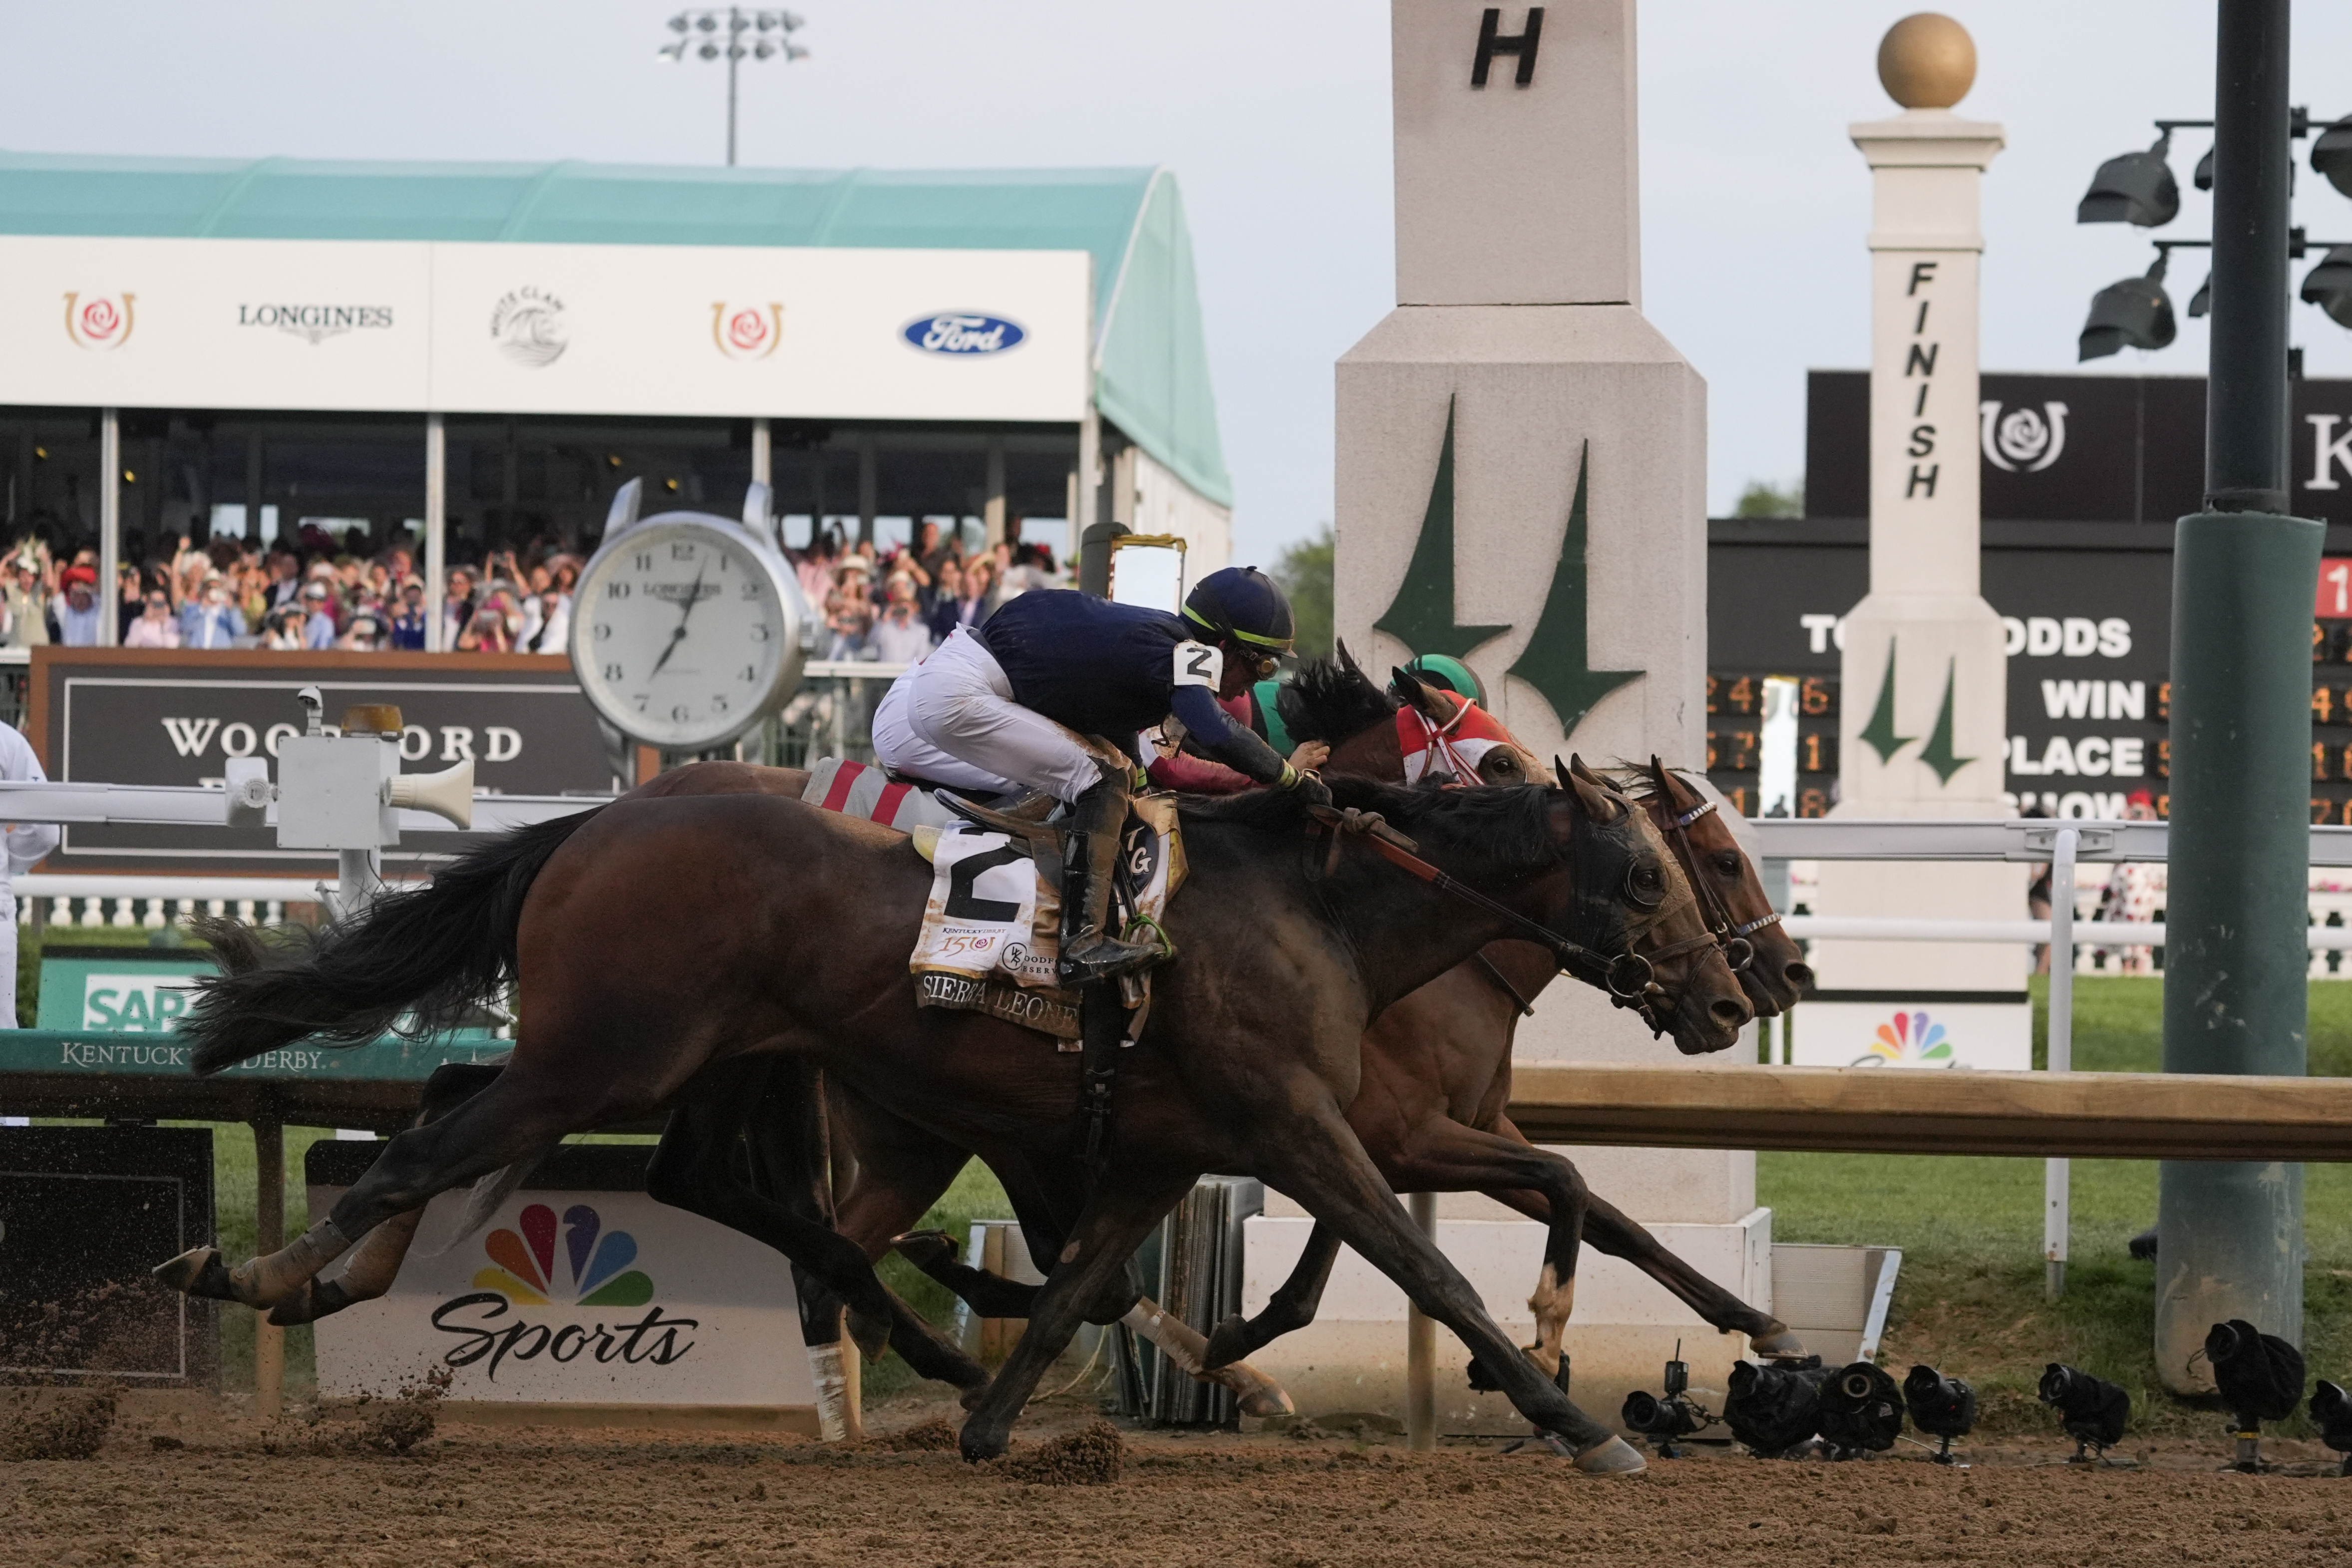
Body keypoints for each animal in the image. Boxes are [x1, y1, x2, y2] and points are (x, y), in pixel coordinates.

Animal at [166, 771, 1740, 1476]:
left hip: (673, 1060)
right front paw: (1570, 1412)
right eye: (1654, 876)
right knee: (434, 1144)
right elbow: (1428, 1265)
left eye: (1694, 867)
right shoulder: (1303, 1124)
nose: (1735, 997)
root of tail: (605, 814)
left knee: (533, 1137)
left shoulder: (1170, 1145)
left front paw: (994, 1417)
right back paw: (259, 1269)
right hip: (616, 1052)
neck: (1324, 908)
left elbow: (1084, 1282)